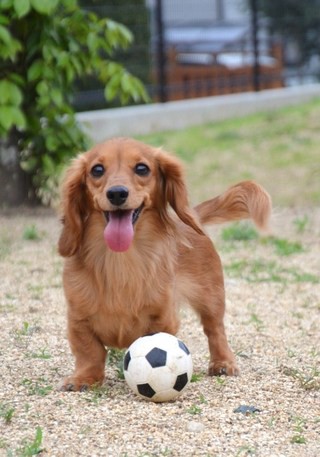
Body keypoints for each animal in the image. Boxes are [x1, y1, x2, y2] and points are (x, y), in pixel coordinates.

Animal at [57, 137, 270, 390]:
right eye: (97, 170)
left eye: (142, 168)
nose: (117, 193)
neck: (121, 261)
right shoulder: (78, 318)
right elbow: (89, 351)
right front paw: (84, 378)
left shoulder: (162, 317)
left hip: (211, 297)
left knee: (215, 330)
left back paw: (223, 362)